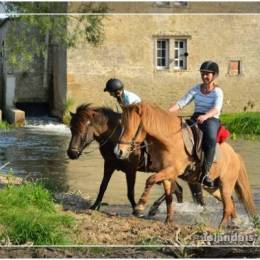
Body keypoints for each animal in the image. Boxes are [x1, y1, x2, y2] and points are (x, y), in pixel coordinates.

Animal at [66, 103, 204, 213]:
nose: (71, 153)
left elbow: (130, 192)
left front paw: (136, 208)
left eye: (83, 130)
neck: (116, 136)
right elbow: (103, 186)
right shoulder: (109, 165)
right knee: (179, 190)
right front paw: (95, 206)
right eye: (71, 128)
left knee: (179, 190)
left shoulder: (131, 169)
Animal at [114, 102, 256, 228]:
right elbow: (169, 197)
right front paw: (169, 220)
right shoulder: (166, 173)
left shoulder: (172, 170)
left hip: (225, 184)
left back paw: (220, 228)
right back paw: (235, 223)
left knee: (227, 207)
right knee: (230, 203)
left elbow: (150, 180)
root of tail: (235, 156)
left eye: (133, 128)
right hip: (212, 187)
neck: (169, 141)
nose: (118, 151)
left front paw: (140, 207)